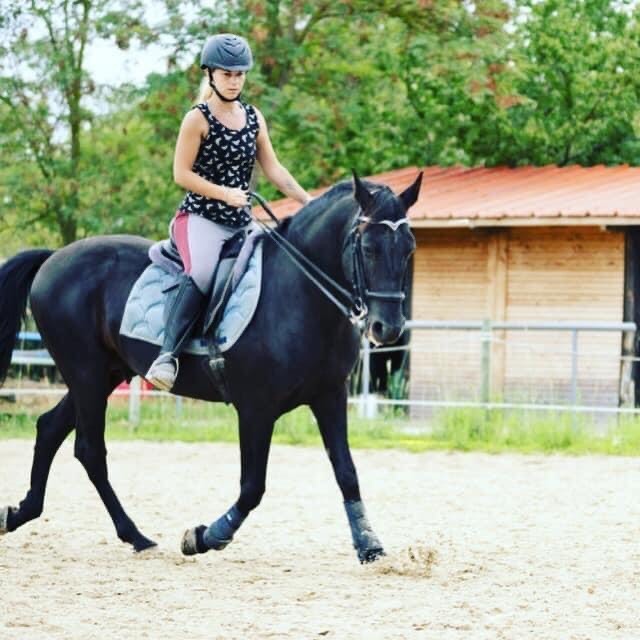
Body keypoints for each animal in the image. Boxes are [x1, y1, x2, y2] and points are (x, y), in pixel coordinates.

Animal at [0, 172, 422, 563]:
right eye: (368, 248)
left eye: (409, 248)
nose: (387, 328)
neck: (301, 294)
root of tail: (53, 257)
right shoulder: (256, 409)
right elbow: (252, 488)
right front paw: (203, 537)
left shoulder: (329, 396)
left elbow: (347, 473)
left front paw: (369, 545)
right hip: (86, 374)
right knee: (90, 450)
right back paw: (135, 535)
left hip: (103, 375)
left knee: (50, 430)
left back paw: (20, 514)